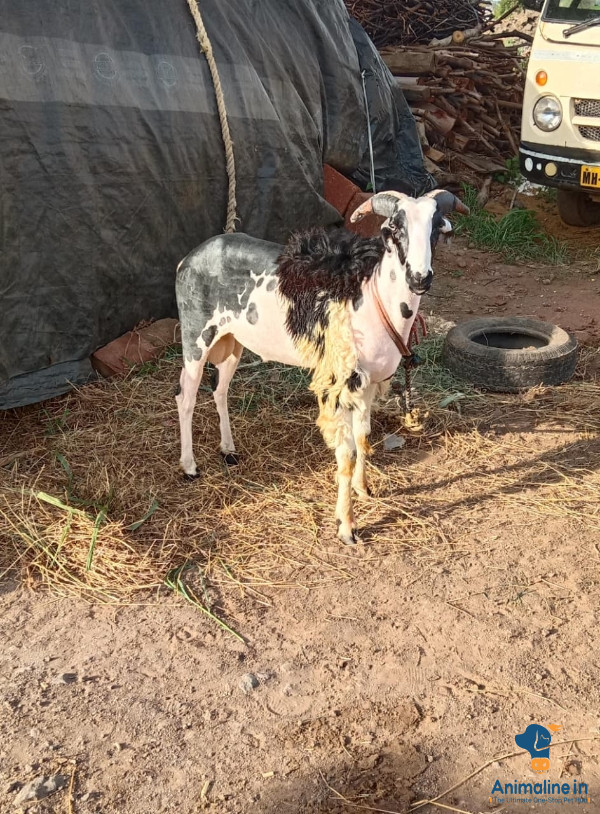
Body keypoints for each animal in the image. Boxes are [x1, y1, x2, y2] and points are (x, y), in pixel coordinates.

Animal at [175, 189, 468, 544]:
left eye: (437, 228)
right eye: (395, 229)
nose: (419, 278)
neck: (373, 296)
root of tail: (190, 258)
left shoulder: (367, 384)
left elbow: (363, 438)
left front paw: (364, 489)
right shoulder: (340, 381)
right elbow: (346, 454)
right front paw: (347, 527)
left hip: (232, 341)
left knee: (220, 391)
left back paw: (228, 451)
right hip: (196, 335)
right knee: (185, 397)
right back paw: (189, 466)